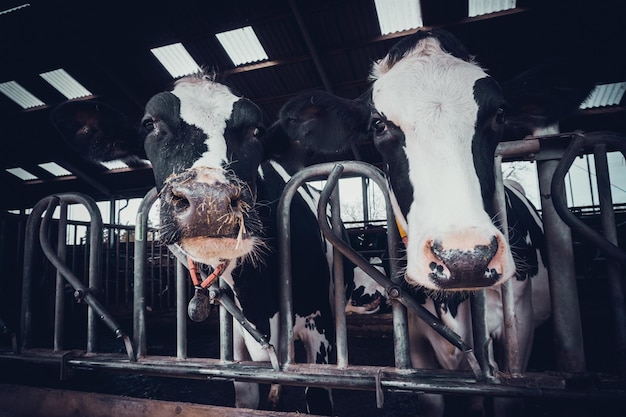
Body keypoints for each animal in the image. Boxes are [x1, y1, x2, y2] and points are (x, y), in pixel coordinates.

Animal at [53, 73, 368, 414]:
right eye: (150, 123)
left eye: (257, 130)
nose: (209, 202)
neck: (260, 300)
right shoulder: (236, 345)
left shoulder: (319, 331)